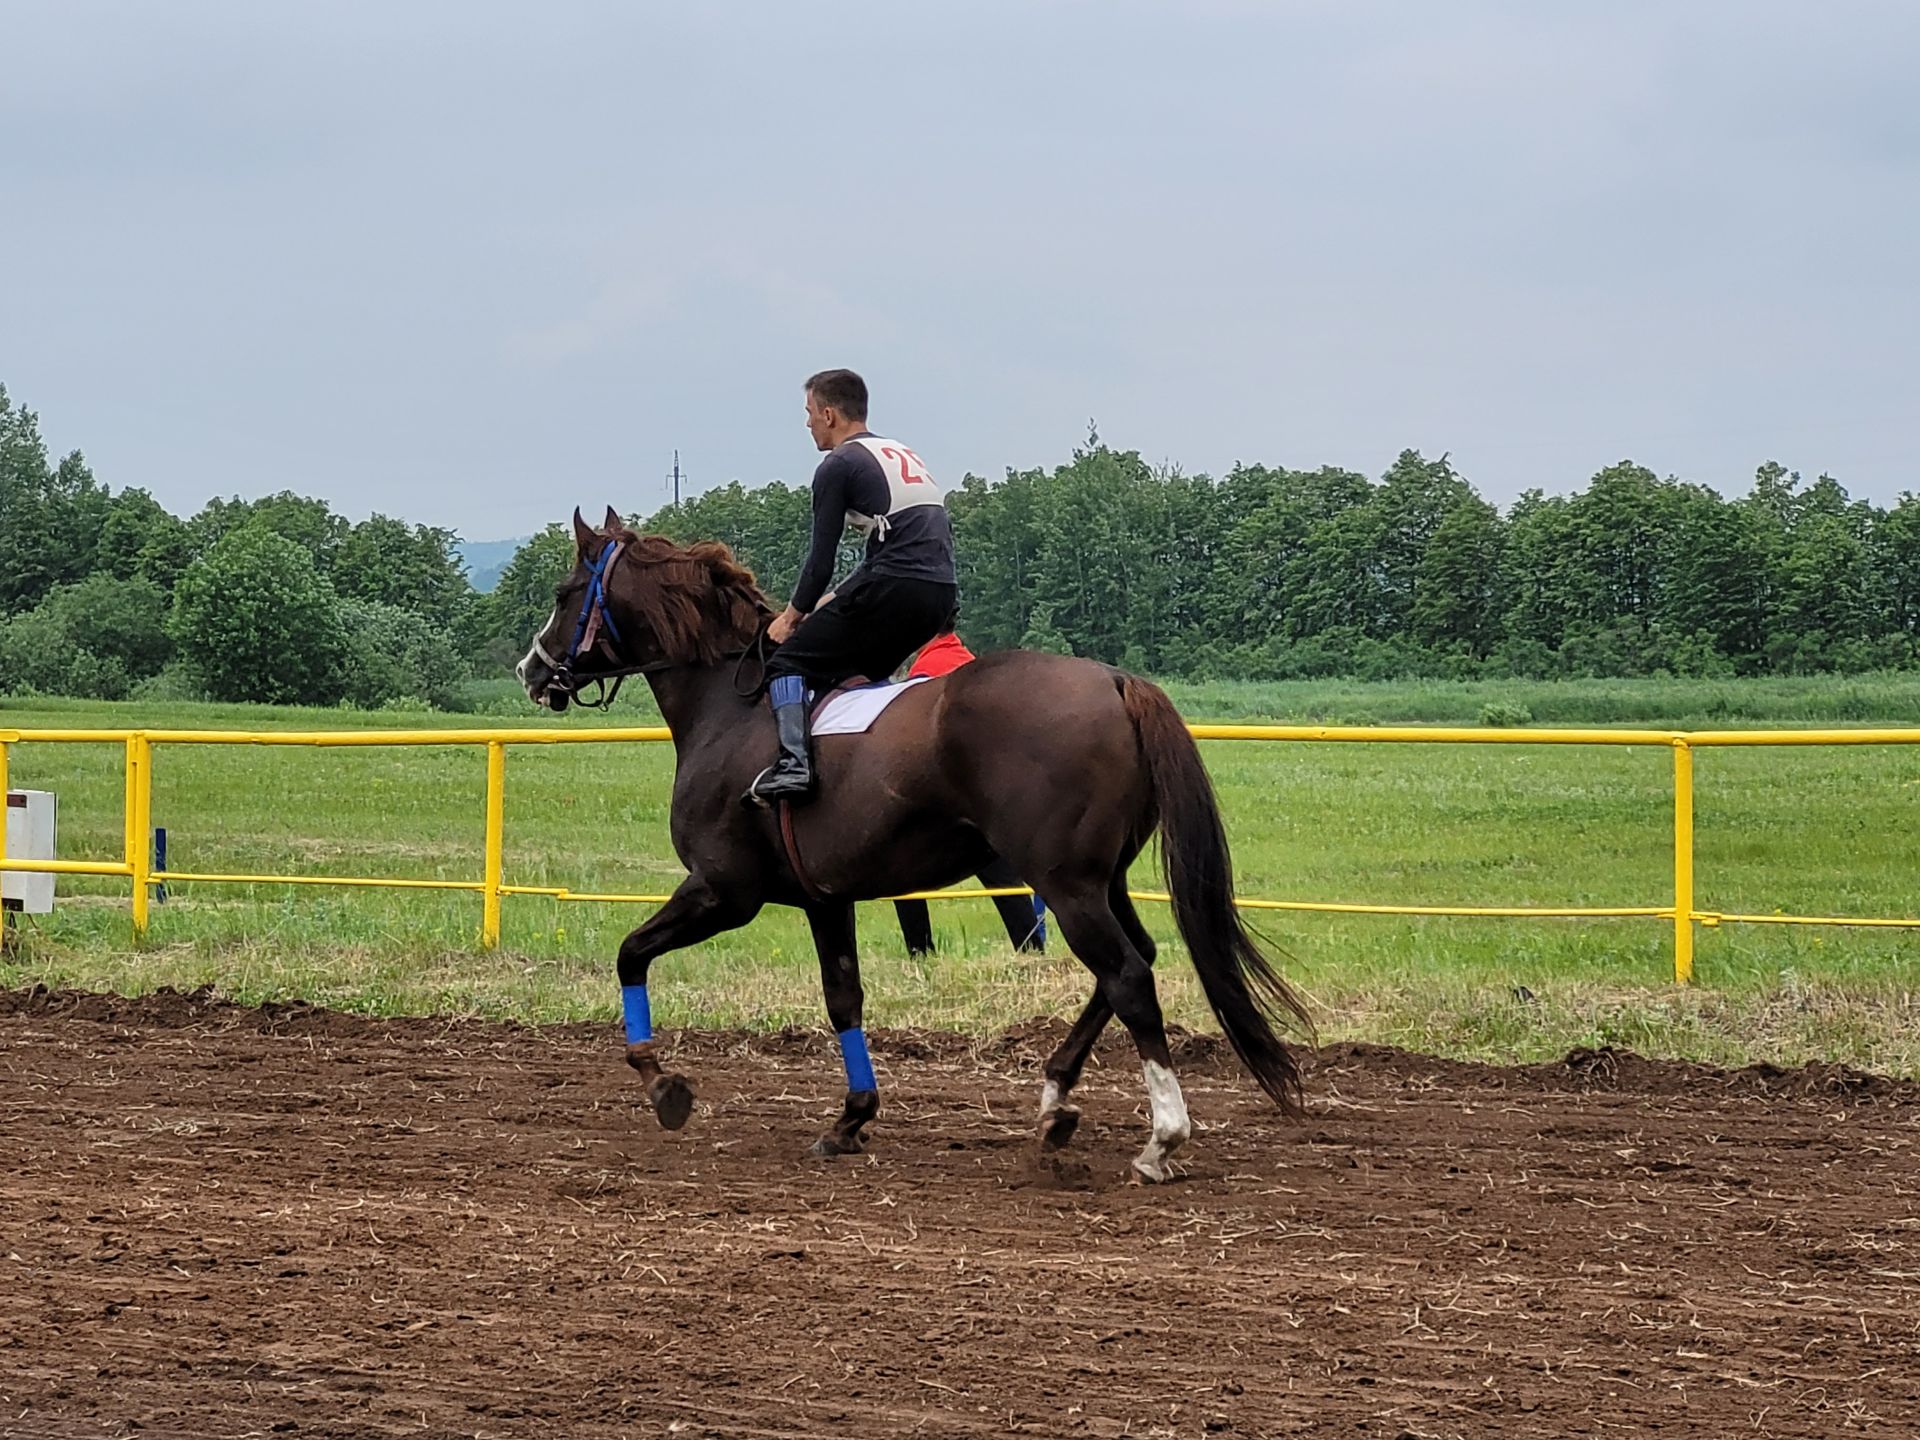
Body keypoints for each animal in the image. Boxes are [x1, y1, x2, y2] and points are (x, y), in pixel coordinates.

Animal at [518, 510, 1313, 1182]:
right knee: (1129, 965)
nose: (532, 668)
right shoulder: (824, 901)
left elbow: (630, 953)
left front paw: (662, 1083)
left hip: (1065, 883)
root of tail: (1117, 680)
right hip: (1100, 879)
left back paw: (1161, 1137)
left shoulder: (722, 892)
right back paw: (1055, 1100)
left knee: (1127, 975)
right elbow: (843, 999)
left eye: (563, 592)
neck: (731, 708)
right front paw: (851, 1118)